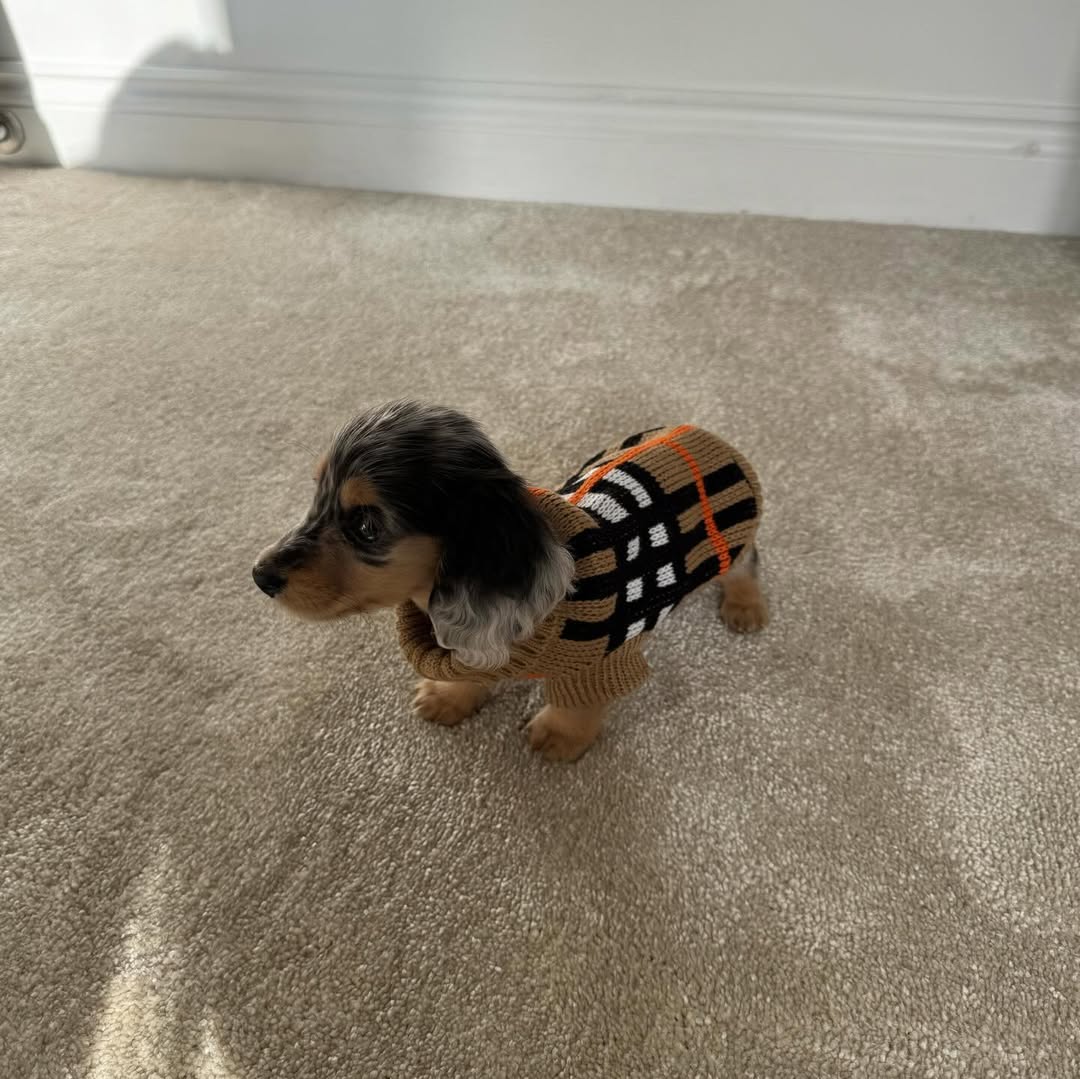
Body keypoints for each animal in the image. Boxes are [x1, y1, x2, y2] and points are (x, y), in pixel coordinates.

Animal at [253, 401, 767, 761]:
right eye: (315, 495)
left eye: (365, 525)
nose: (259, 576)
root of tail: (711, 436)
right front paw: (449, 697)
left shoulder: (600, 664)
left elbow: (577, 706)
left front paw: (558, 736)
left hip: (735, 546)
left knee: (749, 563)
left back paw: (744, 607)